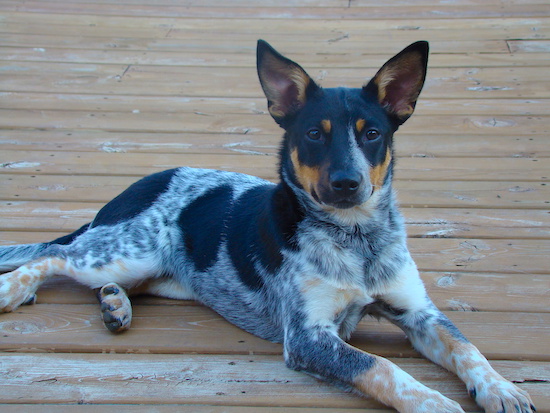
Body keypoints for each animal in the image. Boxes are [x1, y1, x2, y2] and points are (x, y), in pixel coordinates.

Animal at [0, 39, 536, 412]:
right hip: (126, 251)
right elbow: (383, 367)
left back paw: (116, 304)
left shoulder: (419, 312)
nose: (347, 183)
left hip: (163, 274)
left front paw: (502, 388)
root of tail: (132, 189)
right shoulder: (308, 337)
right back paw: (16, 290)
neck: (356, 239)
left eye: (373, 134)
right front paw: (437, 402)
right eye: (314, 133)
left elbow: (468, 348)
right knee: (54, 255)